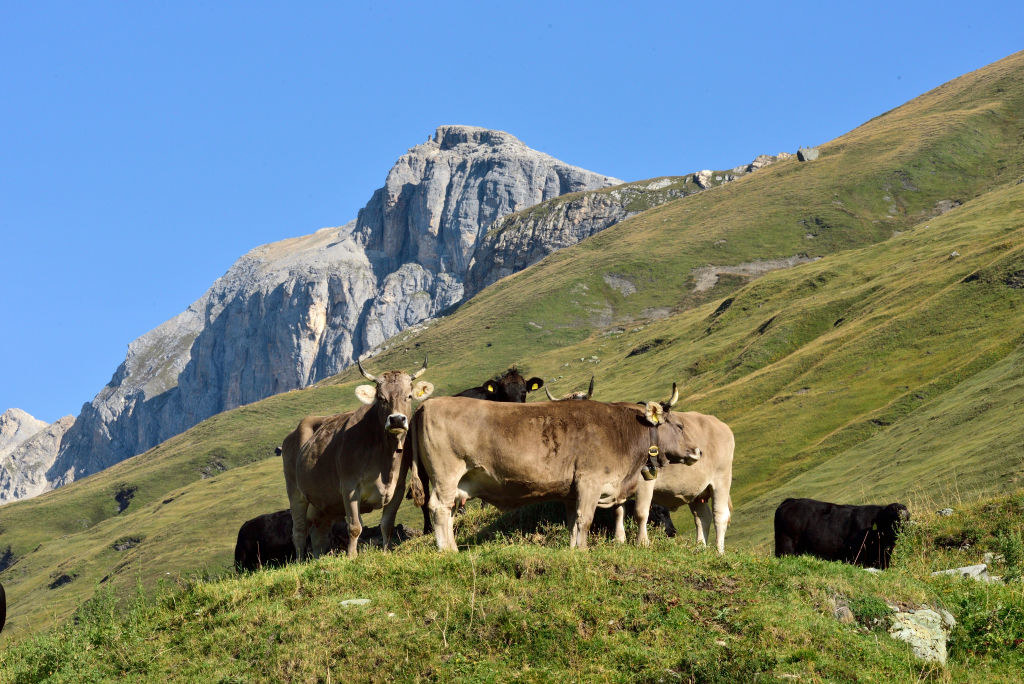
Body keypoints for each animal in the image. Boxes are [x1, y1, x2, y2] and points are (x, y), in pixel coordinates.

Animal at [282, 356, 434, 557]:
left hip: (323, 501)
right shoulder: (349, 487)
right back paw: (300, 560)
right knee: (299, 531)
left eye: (408, 396)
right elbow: (355, 527)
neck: (385, 460)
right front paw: (351, 556)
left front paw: (386, 552)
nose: (396, 419)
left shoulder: (398, 488)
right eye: (381, 398)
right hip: (295, 492)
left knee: (318, 532)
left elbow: (387, 525)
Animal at [409, 385, 696, 548]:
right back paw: (448, 551)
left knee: (447, 511)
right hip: (446, 476)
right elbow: (585, 520)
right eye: (679, 425)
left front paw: (572, 549)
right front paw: (582, 551)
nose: (697, 450)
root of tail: (427, 404)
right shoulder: (590, 481)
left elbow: (573, 522)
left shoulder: (572, 491)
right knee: (438, 509)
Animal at [614, 409, 737, 552]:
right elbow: (618, 511)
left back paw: (719, 552)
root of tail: (719, 423)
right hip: (696, 490)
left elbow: (640, 512)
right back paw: (699, 548)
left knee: (720, 515)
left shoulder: (645, 480)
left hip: (721, 479)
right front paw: (619, 541)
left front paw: (642, 543)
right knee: (702, 517)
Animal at [770, 499, 909, 569]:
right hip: (786, 545)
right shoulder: (855, 557)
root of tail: (790, 501)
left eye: (905, 521)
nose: (895, 534)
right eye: (890, 518)